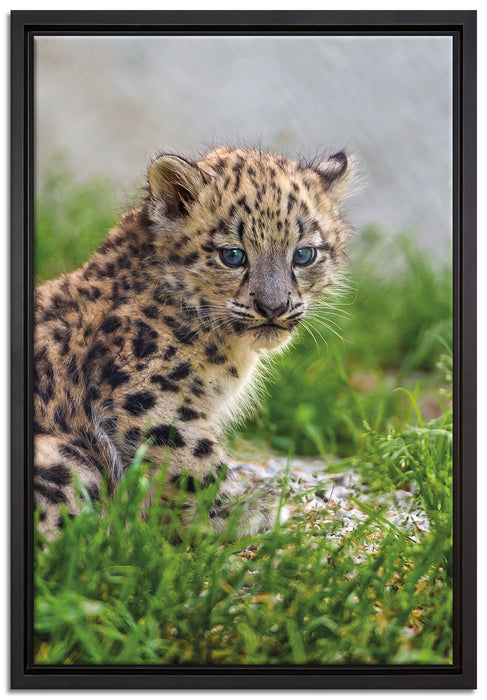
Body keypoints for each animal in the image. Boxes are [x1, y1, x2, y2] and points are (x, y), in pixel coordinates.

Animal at [33, 145, 354, 537]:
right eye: (232, 255)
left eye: (304, 254)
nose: (274, 306)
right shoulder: (148, 396)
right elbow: (196, 461)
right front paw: (241, 513)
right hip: (68, 457)